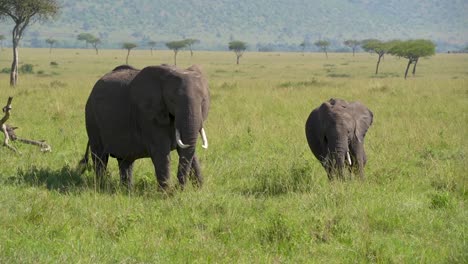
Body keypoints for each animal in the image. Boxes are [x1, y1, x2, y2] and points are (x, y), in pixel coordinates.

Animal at [82, 64, 210, 189]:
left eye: (203, 101)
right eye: (172, 101)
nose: (178, 188)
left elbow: (187, 149)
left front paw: (199, 189)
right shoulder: (148, 116)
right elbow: (161, 152)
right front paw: (167, 193)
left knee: (125, 160)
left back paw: (126, 190)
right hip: (92, 118)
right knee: (100, 157)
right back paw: (100, 187)